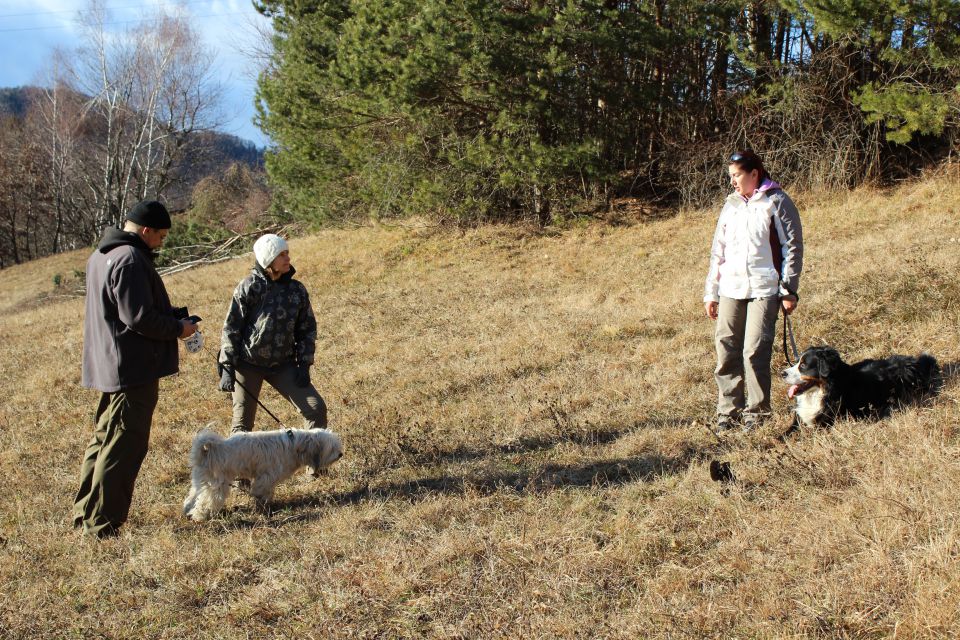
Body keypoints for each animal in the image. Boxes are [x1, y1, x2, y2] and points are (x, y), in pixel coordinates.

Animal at [182, 424, 344, 520]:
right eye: (332, 447)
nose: (341, 454)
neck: (294, 445)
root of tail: (207, 451)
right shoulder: (266, 477)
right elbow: (261, 492)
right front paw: (263, 506)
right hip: (216, 485)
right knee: (205, 502)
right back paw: (199, 517)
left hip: (200, 482)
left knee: (191, 498)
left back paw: (187, 511)